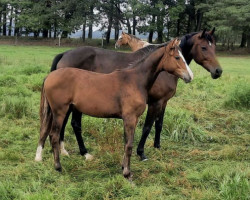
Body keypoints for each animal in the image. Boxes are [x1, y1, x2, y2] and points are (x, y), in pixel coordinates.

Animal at [35, 39, 193, 178]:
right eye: (177, 57)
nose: (190, 76)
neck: (135, 80)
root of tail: (49, 76)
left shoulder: (130, 118)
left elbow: (126, 142)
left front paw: (123, 167)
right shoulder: (131, 117)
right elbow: (129, 145)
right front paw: (127, 173)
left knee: (46, 131)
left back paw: (41, 157)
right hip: (60, 111)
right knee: (54, 135)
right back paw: (58, 166)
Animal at [38, 28, 221, 162]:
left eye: (214, 46)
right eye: (204, 47)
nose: (218, 71)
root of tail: (64, 54)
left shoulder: (164, 102)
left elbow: (159, 125)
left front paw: (157, 146)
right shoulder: (155, 102)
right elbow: (147, 126)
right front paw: (142, 153)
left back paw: (63, 151)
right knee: (72, 124)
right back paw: (80, 152)